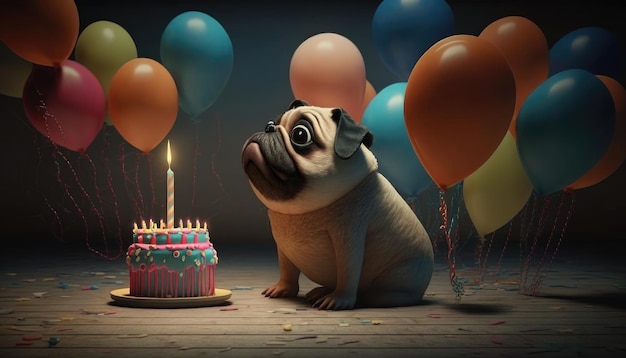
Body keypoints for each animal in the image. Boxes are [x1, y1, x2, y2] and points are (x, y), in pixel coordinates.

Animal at [241, 99, 432, 310]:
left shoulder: (349, 240)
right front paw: (284, 288)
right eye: (270, 123)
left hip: (401, 274)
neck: (303, 211)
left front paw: (340, 299)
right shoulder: (283, 247)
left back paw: (369, 297)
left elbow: (347, 273)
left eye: (300, 135)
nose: (269, 128)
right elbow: (287, 270)